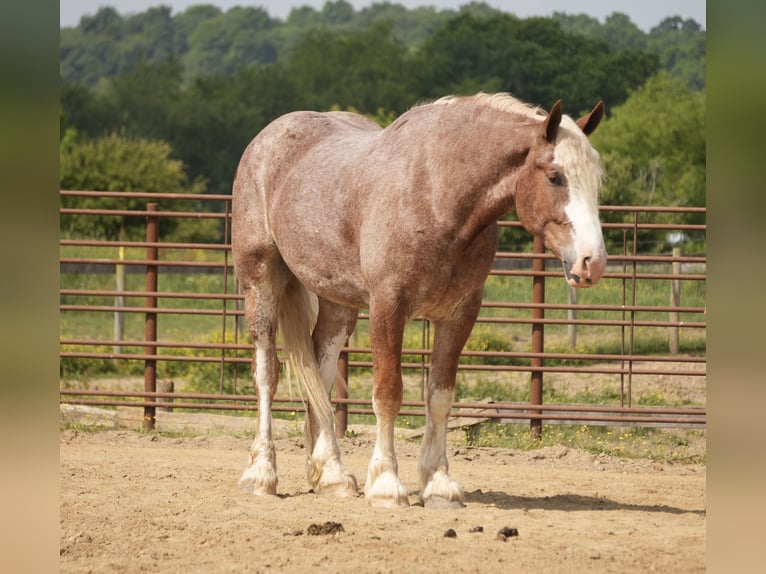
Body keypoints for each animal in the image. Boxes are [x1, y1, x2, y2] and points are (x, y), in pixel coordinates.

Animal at [231, 92, 607, 508]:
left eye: (597, 180)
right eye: (555, 176)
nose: (592, 262)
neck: (434, 194)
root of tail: (266, 140)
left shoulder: (459, 315)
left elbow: (440, 397)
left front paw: (438, 484)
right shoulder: (388, 308)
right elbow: (388, 394)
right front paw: (386, 484)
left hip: (338, 304)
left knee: (321, 376)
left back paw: (332, 475)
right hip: (261, 281)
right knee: (267, 374)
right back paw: (261, 474)